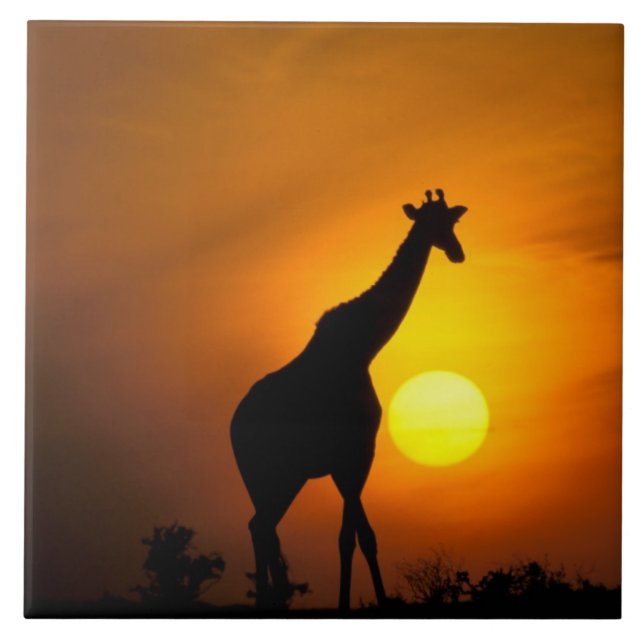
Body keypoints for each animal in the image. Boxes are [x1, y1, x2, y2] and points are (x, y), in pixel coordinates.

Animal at [230, 188, 468, 610]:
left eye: (452, 220)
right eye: (433, 222)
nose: (457, 252)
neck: (363, 348)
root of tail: (233, 428)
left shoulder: (348, 458)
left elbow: (352, 537)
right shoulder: (355, 453)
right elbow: (360, 537)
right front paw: (373, 603)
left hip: (273, 479)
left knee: (262, 527)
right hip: (273, 474)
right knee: (262, 527)